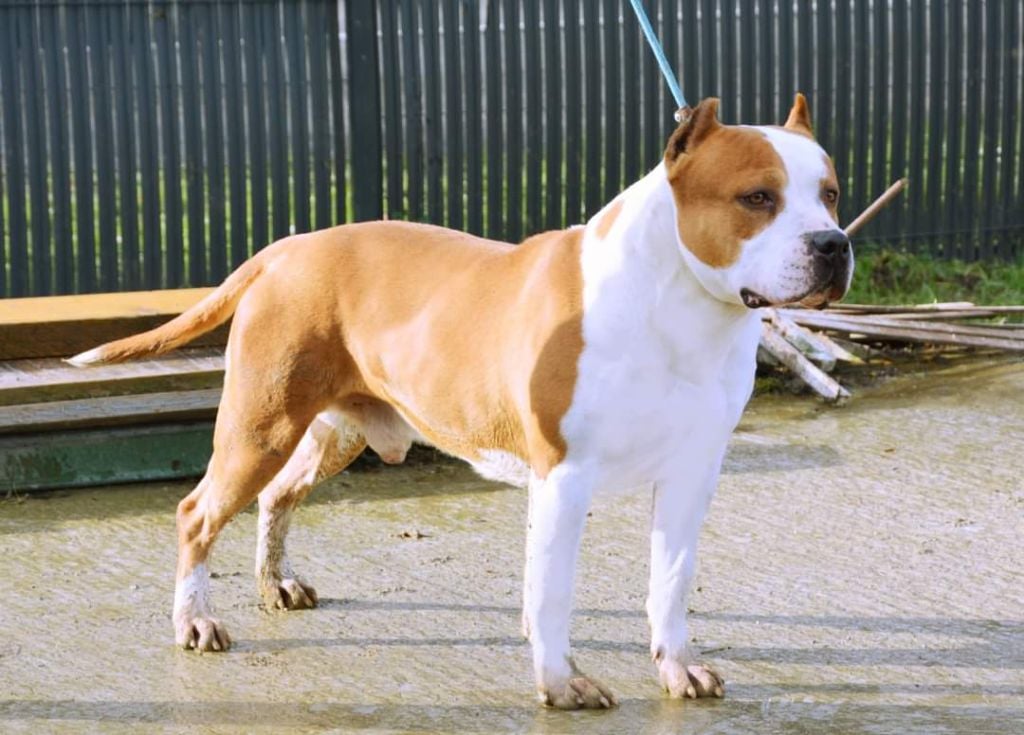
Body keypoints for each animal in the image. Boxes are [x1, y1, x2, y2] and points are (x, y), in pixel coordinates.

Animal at [69, 95, 852, 708]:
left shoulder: (691, 474)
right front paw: (561, 682)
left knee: (276, 495)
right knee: (198, 513)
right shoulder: (566, 474)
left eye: (832, 194)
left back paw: (277, 584)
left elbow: (669, 581)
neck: (678, 309)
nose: (833, 244)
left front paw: (676, 667)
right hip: (259, 426)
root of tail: (286, 247)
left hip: (333, 433)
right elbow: (555, 589)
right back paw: (194, 623)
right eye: (757, 198)